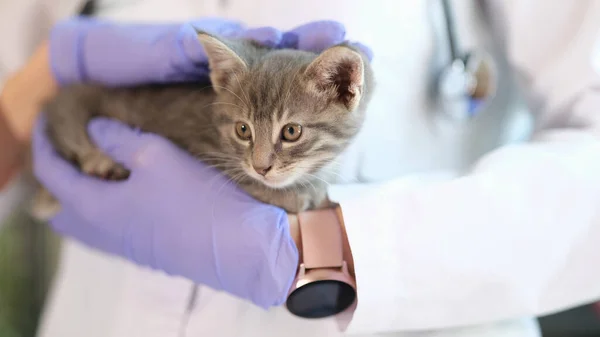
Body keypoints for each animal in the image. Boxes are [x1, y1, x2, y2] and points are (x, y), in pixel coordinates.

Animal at [31, 30, 376, 220]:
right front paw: (296, 194)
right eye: (243, 130)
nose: (261, 167)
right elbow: (242, 177)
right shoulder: (198, 143)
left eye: (291, 131)